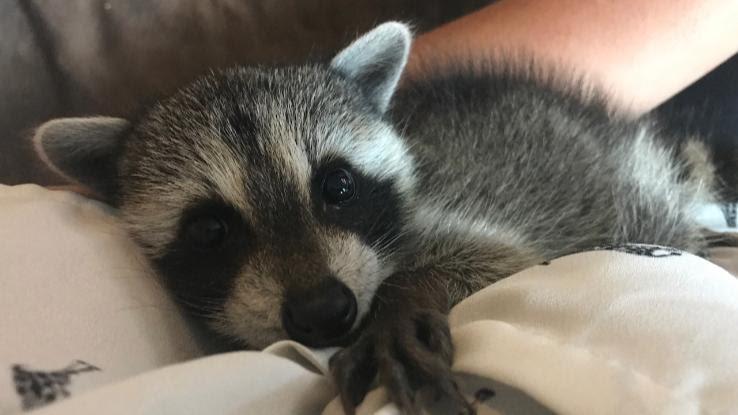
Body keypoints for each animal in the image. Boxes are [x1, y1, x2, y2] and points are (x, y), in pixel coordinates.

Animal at [33, 22, 723, 414]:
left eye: (337, 185)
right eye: (210, 230)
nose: (323, 312)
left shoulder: (456, 215)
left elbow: (502, 258)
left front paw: (401, 297)